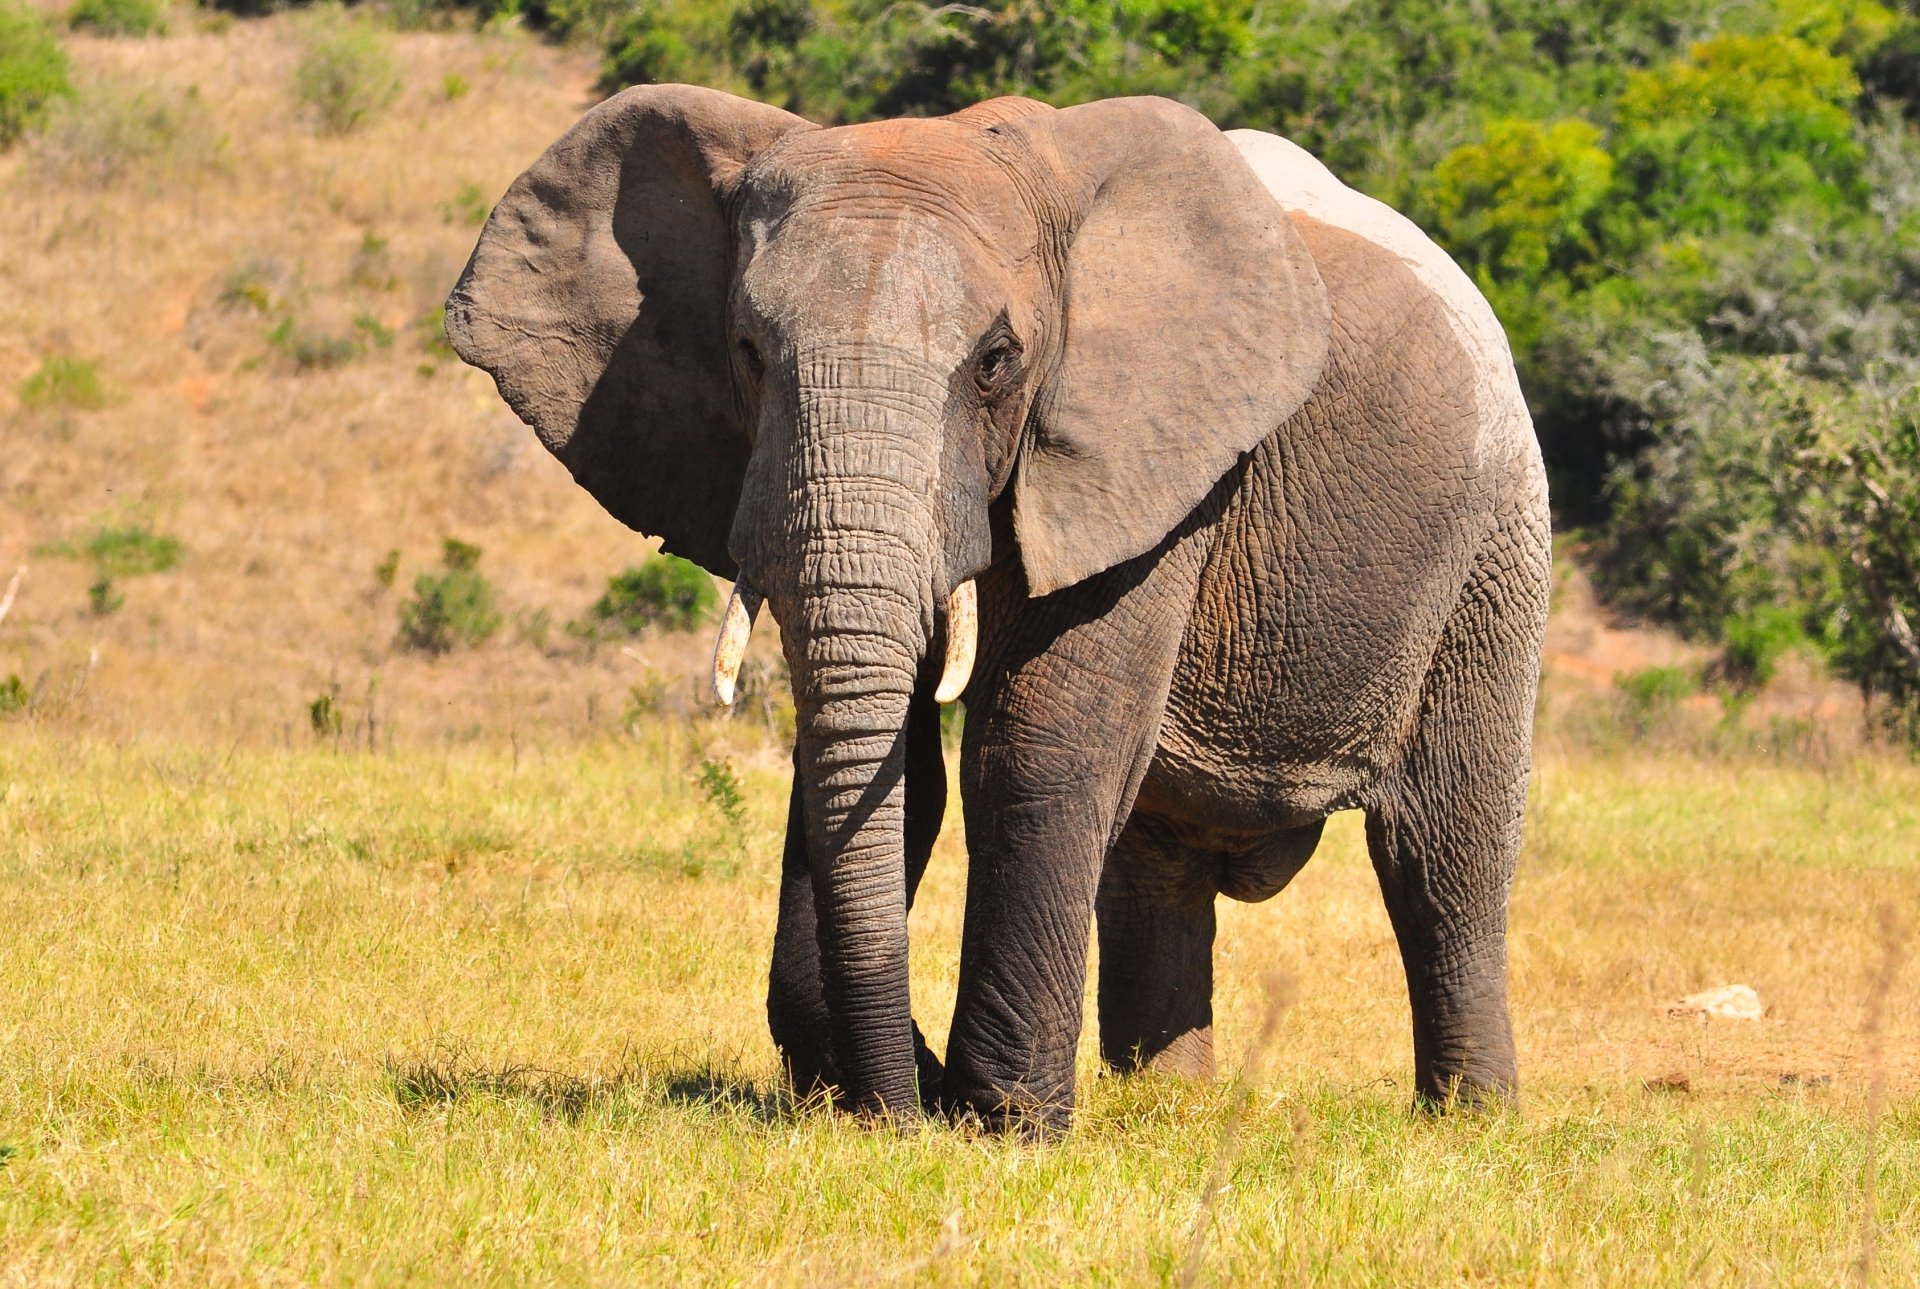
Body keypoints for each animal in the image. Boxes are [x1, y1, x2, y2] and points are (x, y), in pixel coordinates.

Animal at [445, 85, 1551, 1131]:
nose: (899, 1106)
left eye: (995, 361)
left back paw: (1470, 1119)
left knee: (1441, 843)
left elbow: (1038, 744)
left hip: (1498, 538)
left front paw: (1004, 1124)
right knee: (1158, 862)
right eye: (750, 351)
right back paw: (1167, 1106)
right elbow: (894, 765)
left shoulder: (1151, 457)